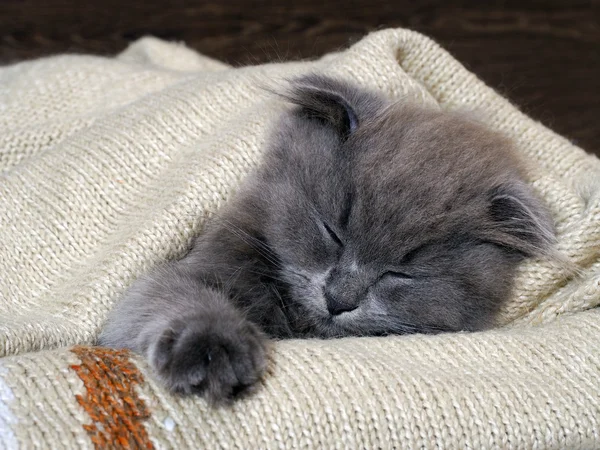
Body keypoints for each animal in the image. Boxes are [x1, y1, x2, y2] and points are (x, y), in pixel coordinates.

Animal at [97, 74, 552, 404]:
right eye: (332, 232)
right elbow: (174, 295)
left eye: (401, 273)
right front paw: (213, 349)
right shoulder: (184, 270)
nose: (338, 300)